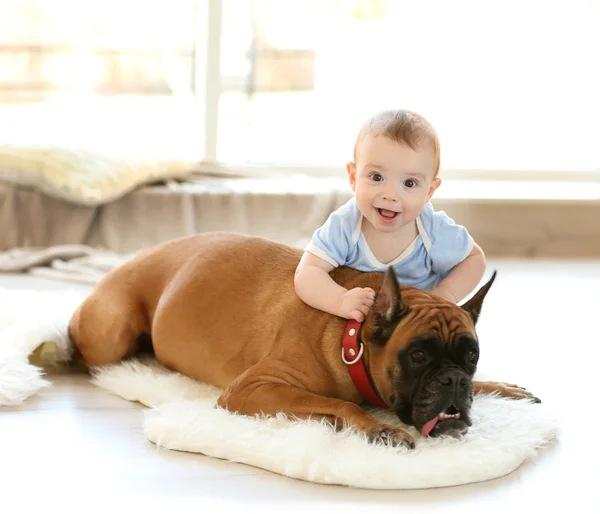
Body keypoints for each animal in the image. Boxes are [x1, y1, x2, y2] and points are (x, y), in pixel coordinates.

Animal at [68, 230, 536, 446]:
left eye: (471, 357)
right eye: (418, 356)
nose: (453, 381)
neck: (352, 339)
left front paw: (501, 387)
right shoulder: (253, 389)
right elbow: (341, 404)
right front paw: (378, 429)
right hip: (111, 332)